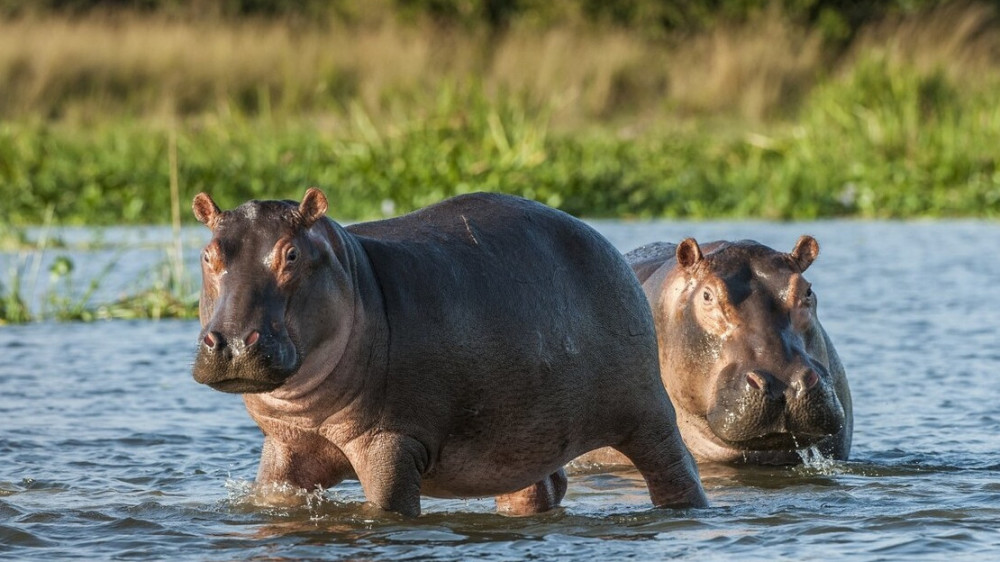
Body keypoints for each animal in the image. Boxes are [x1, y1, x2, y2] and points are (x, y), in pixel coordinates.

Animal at [191, 189, 708, 516]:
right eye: (208, 254)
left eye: (292, 254)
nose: (232, 342)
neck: (354, 274)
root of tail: (607, 244)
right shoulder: (286, 445)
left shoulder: (392, 442)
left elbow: (388, 509)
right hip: (522, 436)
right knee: (538, 487)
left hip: (647, 414)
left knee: (674, 470)